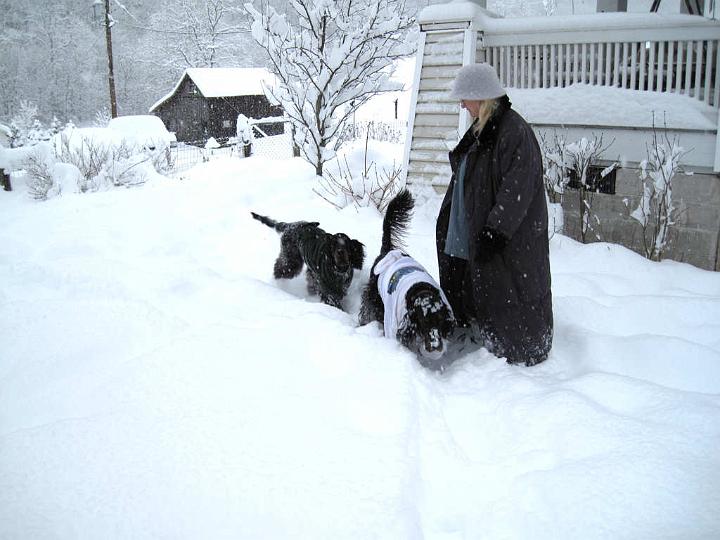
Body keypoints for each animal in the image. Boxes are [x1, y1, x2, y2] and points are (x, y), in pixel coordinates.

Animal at [360, 188, 456, 370]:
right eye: (423, 322)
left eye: (440, 321)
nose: (435, 347)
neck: (420, 289)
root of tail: (389, 251)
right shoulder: (395, 325)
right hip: (373, 299)